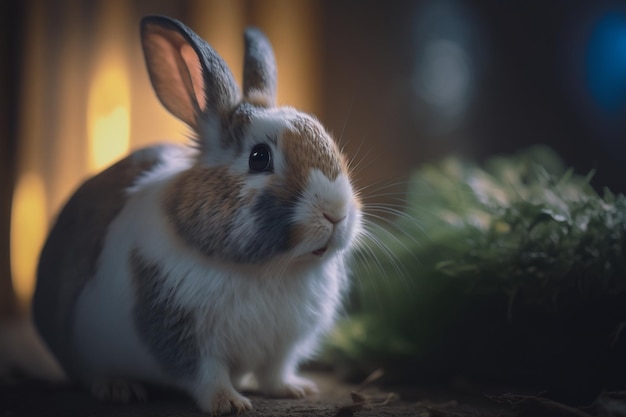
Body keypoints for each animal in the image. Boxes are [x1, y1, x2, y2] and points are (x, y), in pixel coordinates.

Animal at [33, 14, 360, 414]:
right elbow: (207, 375)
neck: (269, 269)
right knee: (87, 371)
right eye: (259, 158)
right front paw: (230, 403)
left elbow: (274, 372)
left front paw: (296, 389)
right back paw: (118, 388)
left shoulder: (282, 347)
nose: (336, 213)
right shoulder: (182, 336)